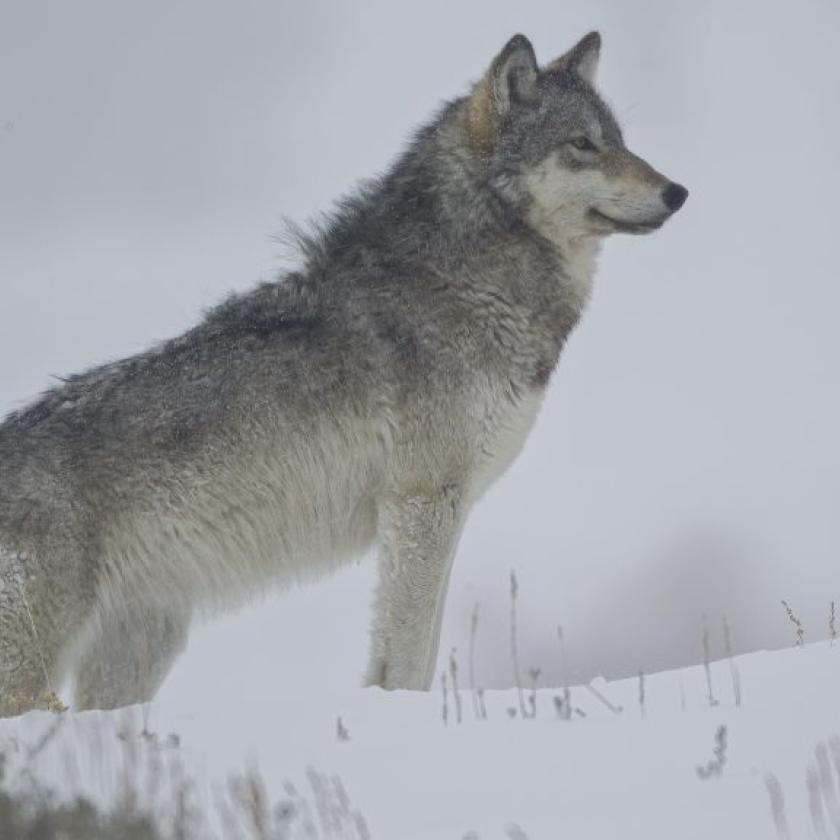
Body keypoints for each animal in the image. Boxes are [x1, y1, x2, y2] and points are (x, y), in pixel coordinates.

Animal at [0, 34, 688, 716]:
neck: (465, 284)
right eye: (582, 144)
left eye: (619, 140)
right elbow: (405, 658)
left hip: (137, 652)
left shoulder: (446, 508)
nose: (677, 192)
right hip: (42, 671)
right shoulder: (421, 503)